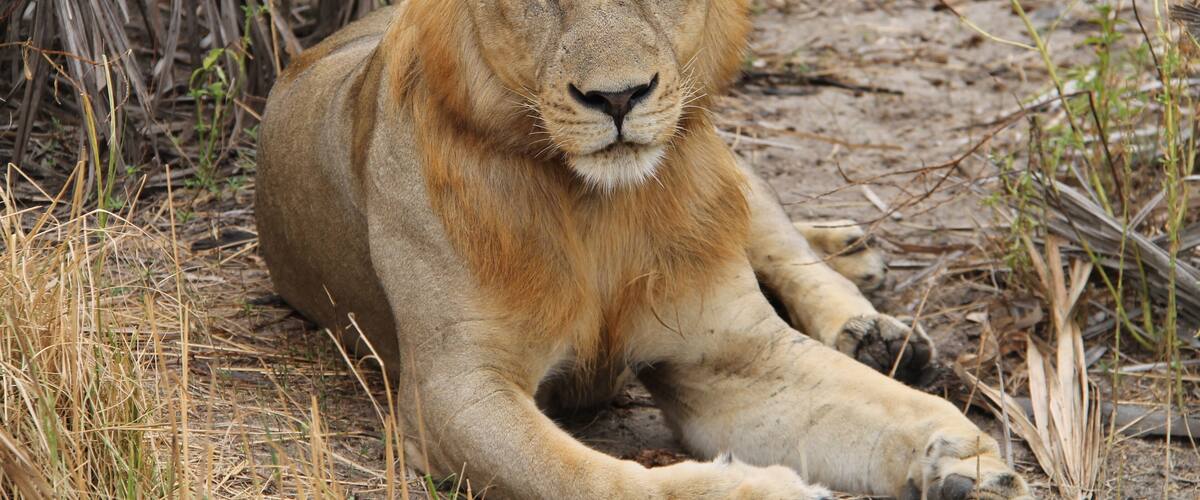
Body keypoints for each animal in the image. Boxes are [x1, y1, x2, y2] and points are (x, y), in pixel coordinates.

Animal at [255, 1, 1031, 498]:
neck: (596, 206)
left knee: (775, 235)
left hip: (712, 142)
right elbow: (590, 479)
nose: (619, 97)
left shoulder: (730, 354)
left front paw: (959, 453)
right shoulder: (452, 393)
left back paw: (872, 322)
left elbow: (876, 403)